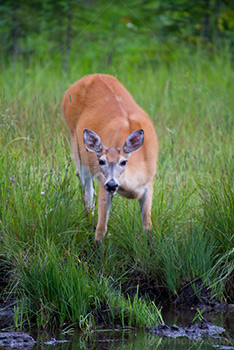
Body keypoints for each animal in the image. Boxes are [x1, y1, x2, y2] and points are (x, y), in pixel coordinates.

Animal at [62, 74, 158, 242]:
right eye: (101, 161)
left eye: (123, 162)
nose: (112, 184)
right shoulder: (102, 182)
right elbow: (101, 227)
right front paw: (96, 246)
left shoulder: (149, 182)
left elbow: (147, 225)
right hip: (77, 150)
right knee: (87, 193)